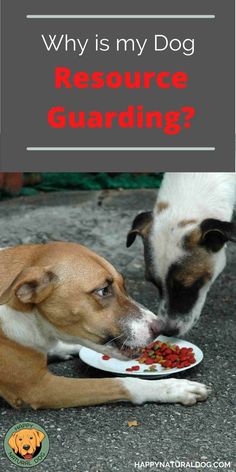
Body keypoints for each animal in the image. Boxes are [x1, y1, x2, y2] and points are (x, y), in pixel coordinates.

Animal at [0, 242, 209, 408]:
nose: (160, 328)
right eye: (103, 290)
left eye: (123, 284)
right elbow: (122, 383)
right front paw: (172, 388)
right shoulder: (38, 388)